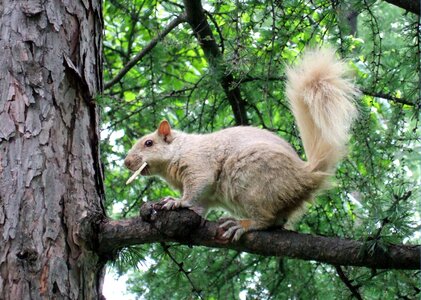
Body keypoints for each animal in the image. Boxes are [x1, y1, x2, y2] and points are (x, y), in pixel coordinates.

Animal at [123, 48, 356, 241]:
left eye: (149, 143)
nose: (126, 162)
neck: (179, 150)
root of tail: (305, 176)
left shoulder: (199, 164)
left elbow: (196, 188)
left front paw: (178, 201)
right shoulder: (206, 196)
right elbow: (200, 205)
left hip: (253, 184)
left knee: (266, 219)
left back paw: (243, 225)